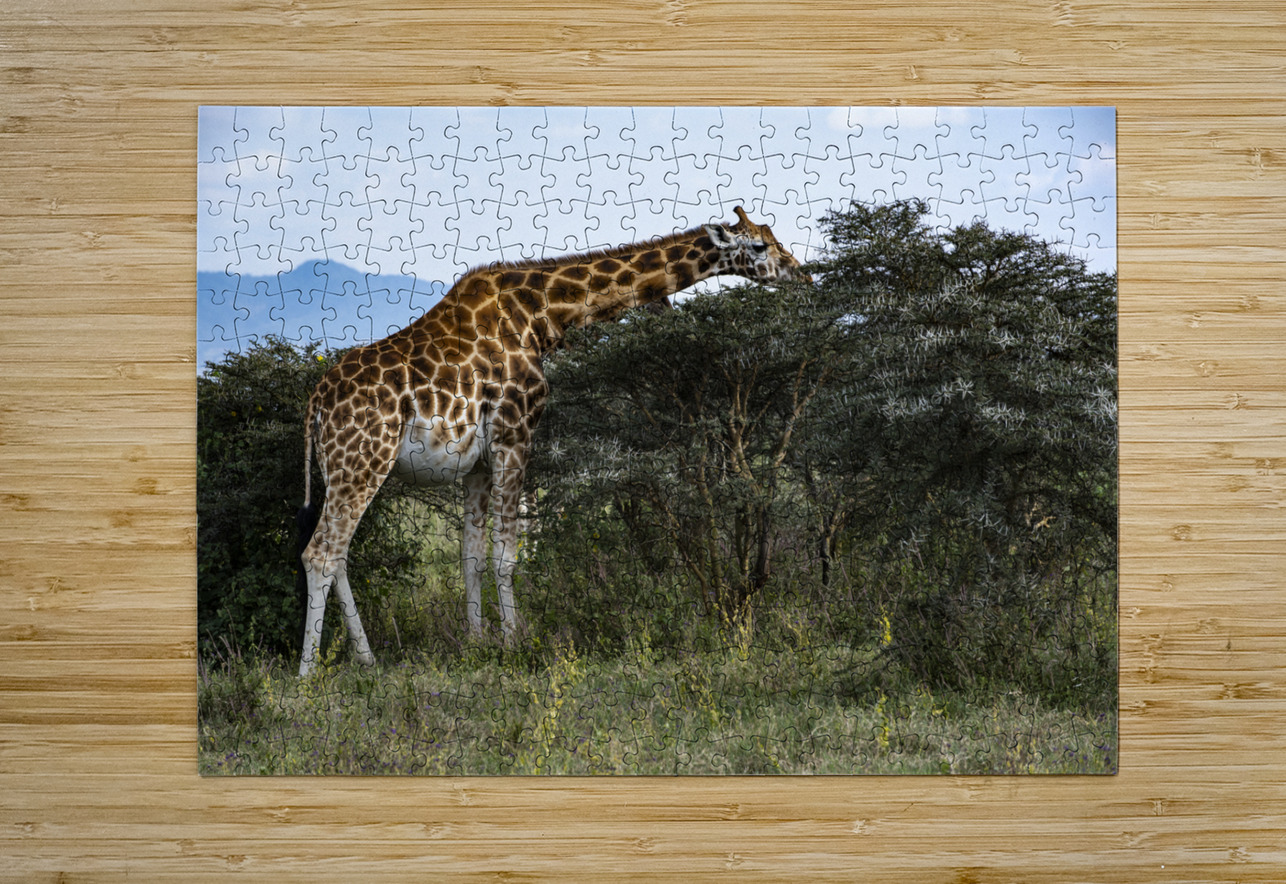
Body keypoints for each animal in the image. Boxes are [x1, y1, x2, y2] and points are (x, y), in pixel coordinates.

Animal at [296, 206, 807, 675]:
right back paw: (308, 673)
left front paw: (477, 643)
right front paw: (514, 644)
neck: (540, 317)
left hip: (343, 467)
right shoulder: (515, 433)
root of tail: (316, 402)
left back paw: (367, 660)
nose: (800, 274)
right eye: (759, 247)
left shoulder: (478, 461)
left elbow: (472, 556)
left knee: (339, 556)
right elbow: (507, 555)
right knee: (319, 554)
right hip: (363, 460)